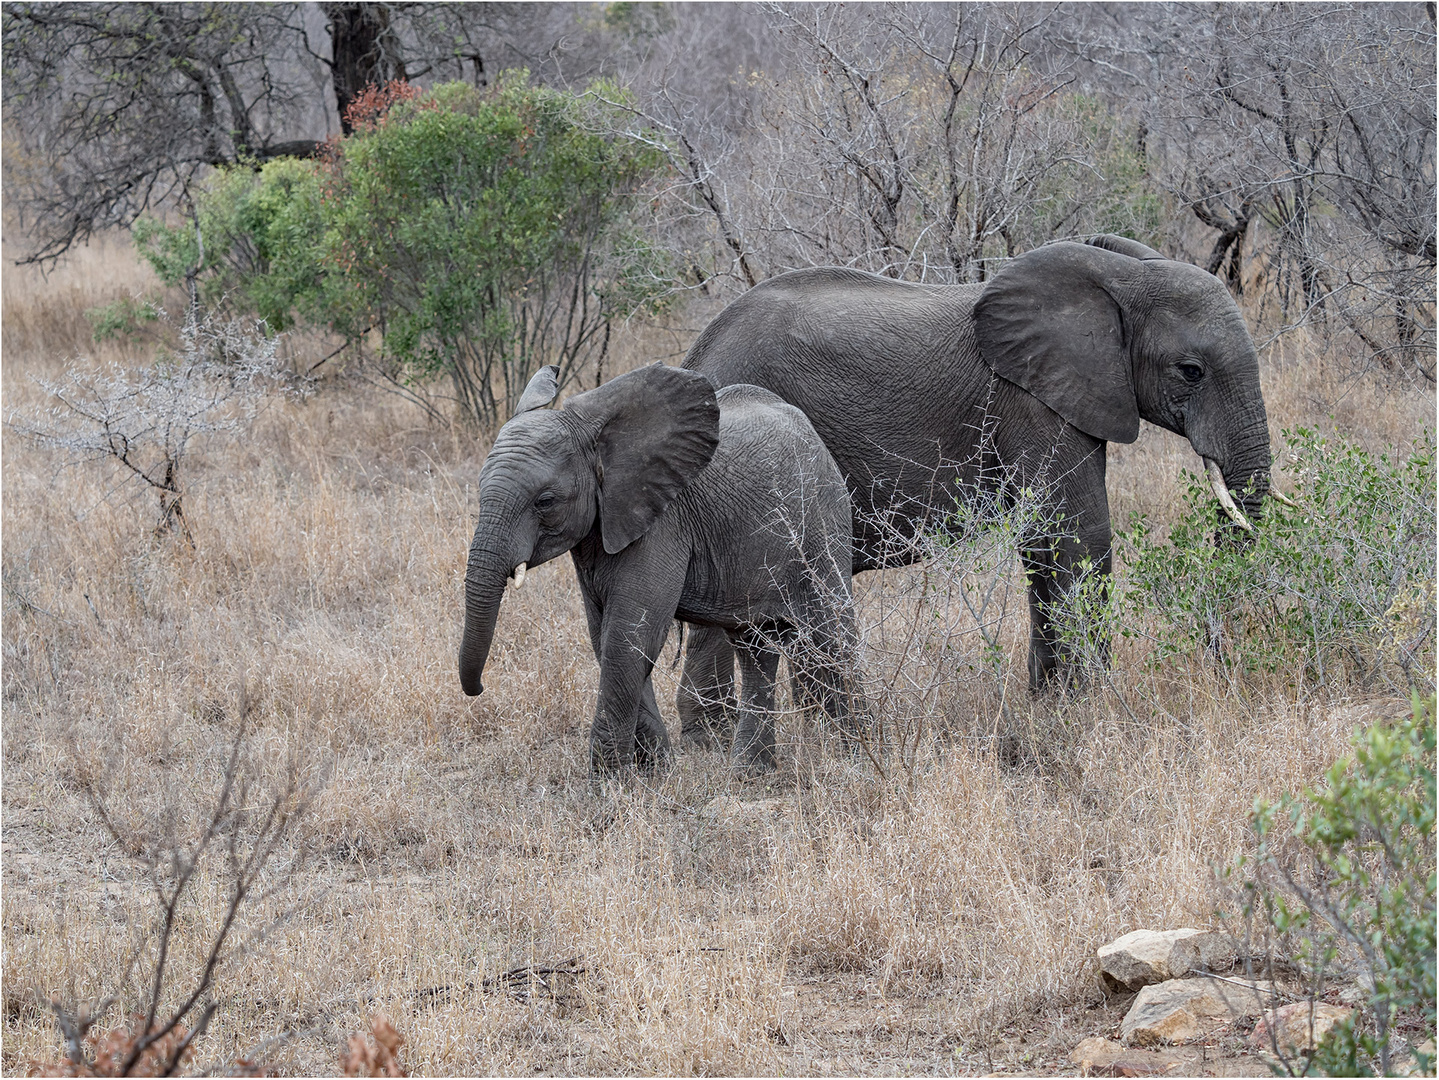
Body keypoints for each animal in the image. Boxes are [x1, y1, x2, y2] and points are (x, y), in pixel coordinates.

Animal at [457, 363, 851, 776]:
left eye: (545, 501)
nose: (478, 688)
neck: (599, 440)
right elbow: (606, 637)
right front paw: (657, 771)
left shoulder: (663, 524)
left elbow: (629, 636)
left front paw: (609, 785)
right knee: (755, 646)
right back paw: (752, 773)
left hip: (822, 519)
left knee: (833, 632)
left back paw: (857, 752)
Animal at [673, 235, 1272, 742]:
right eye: (1191, 371)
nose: (1222, 663)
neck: (1117, 278)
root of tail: (696, 354)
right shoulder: (1031, 399)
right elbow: (1080, 536)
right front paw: (1091, 711)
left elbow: (1042, 543)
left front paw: (1047, 706)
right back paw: (712, 742)